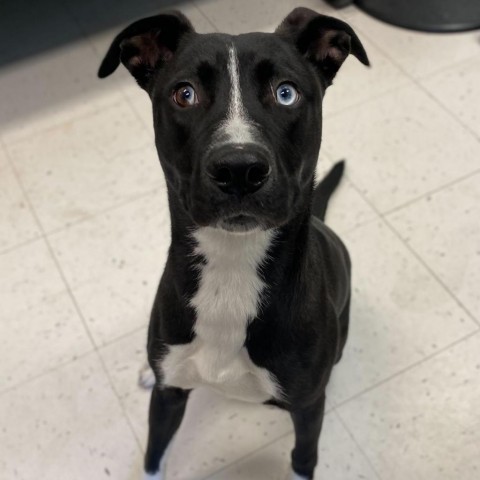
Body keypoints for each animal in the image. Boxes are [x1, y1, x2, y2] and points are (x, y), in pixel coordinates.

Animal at [97, 5, 368, 478]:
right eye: (184, 94)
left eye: (286, 93)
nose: (239, 168)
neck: (231, 267)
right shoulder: (167, 398)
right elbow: (153, 455)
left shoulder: (308, 408)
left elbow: (302, 457)